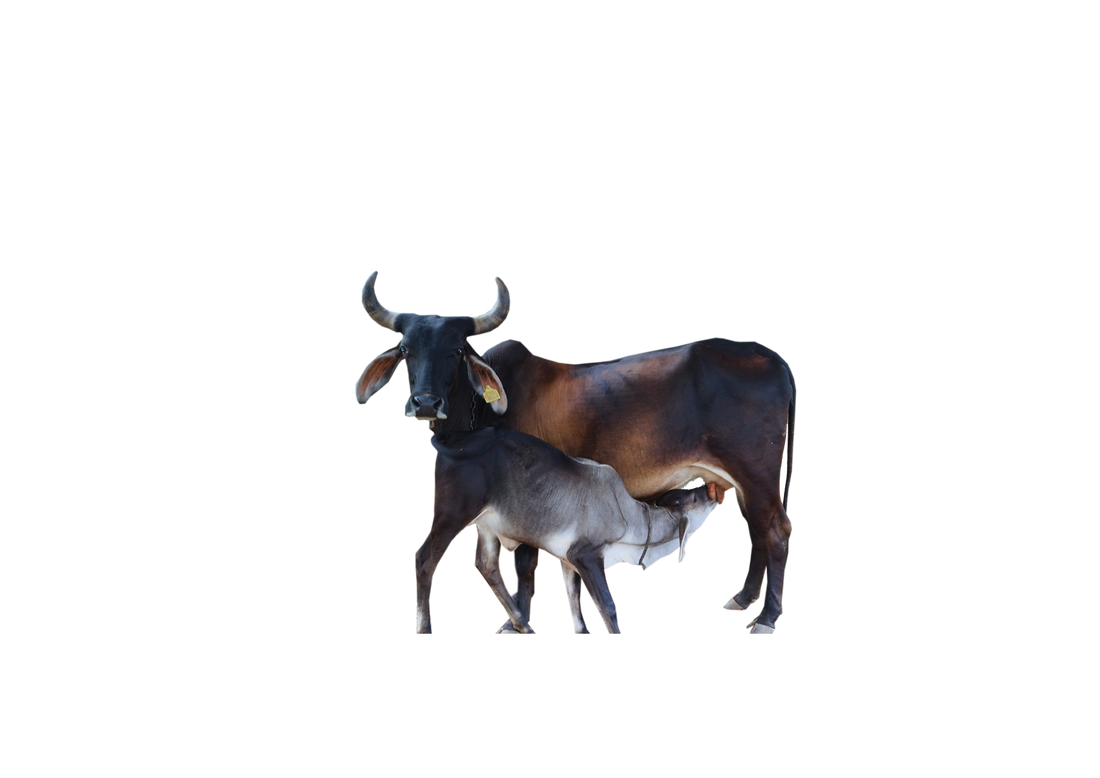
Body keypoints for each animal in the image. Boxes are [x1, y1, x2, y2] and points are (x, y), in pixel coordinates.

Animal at [419, 427, 720, 636]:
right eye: (695, 498)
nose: (711, 490)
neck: (629, 518)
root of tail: (453, 439)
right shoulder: (586, 555)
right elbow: (607, 607)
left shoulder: (569, 560)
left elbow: (576, 607)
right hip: (452, 515)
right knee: (425, 560)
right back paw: (424, 627)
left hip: (487, 524)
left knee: (487, 564)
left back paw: (522, 623)